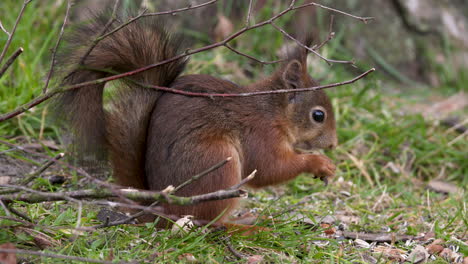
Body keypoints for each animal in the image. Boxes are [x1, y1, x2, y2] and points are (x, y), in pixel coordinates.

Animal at [54, 13, 336, 223]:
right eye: (318, 115)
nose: (333, 144)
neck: (274, 110)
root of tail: (163, 210)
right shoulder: (261, 133)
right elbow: (269, 169)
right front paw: (318, 163)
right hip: (218, 163)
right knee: (208, 223)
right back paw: (242, 226)